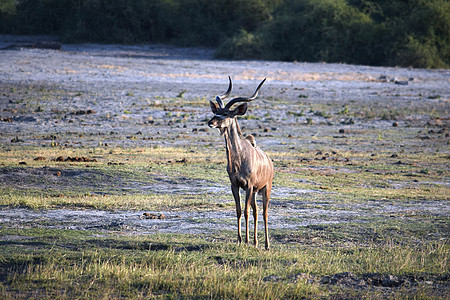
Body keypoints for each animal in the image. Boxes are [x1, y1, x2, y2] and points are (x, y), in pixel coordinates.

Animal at [208, 76, 274, 250]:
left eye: (225, 113)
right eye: (216, 111)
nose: (211, 122)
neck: (238, 159)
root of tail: (270, 162)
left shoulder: (249, 185)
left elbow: (245, 212)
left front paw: (246, 241)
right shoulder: (235, 185)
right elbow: (238, 210)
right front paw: (239, 240)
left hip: (266, 188)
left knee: (264, 213)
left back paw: (266, 245)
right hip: (255, 191)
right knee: (256, 211)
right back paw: (257, 242)